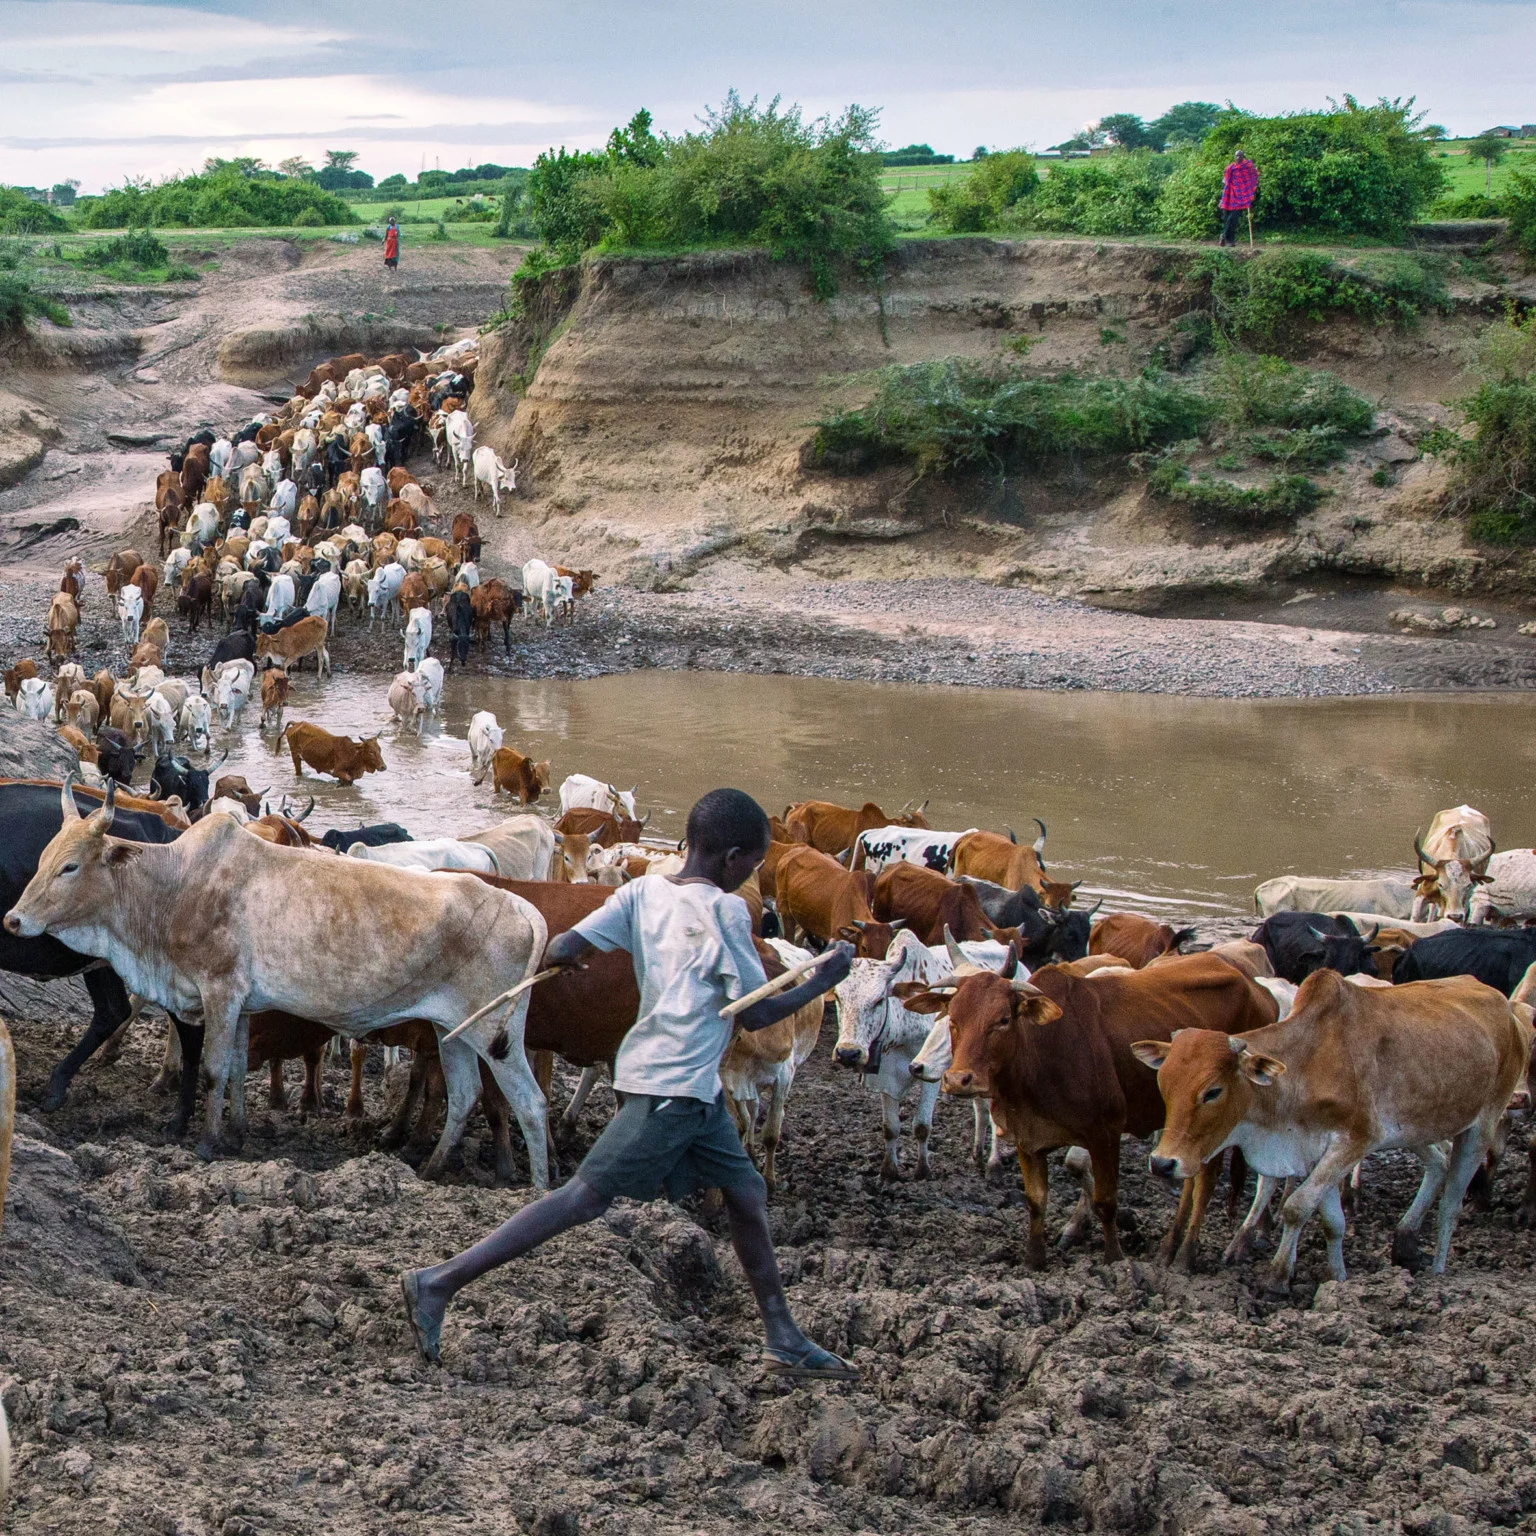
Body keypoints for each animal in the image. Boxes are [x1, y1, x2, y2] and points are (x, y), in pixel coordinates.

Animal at [0, 780, 202, 1130]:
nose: (14, 921)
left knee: (189, 1031)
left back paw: (179, 1116)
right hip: (102, 964)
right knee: (113, 1011)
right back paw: (58, 1086)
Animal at [903, 946, 1277, 1271]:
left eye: (1003, 1019)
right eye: (953, 1019)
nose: (959, 1079)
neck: (1042, 1054)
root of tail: (1255, 985)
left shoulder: (1104, 1134)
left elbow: (1105, 1200)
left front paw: (1114, 1260)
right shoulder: (1028, 1139)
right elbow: (1036, 1200)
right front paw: (1034, 1259)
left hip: (1215, 1122)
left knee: (1206, 1183)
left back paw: (1186, 1255)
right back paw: (1170, 1248)